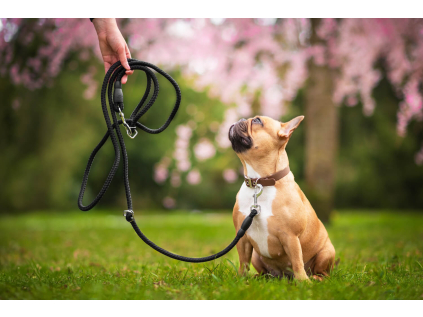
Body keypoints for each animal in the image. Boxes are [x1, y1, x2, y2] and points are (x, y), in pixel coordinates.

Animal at [230, 115, 336, 278]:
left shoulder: (290, 237)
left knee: (323, 272)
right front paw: (241, 279)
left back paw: (315, 278)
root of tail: (282, 276)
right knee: (262, 270)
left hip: (327, 252)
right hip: (256, 257)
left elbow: (297, 261)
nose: (240, 118)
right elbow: (243, 262)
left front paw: (303, 281)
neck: (260, 182)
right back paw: (259, 277)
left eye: (257, 120)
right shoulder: (242, 237)